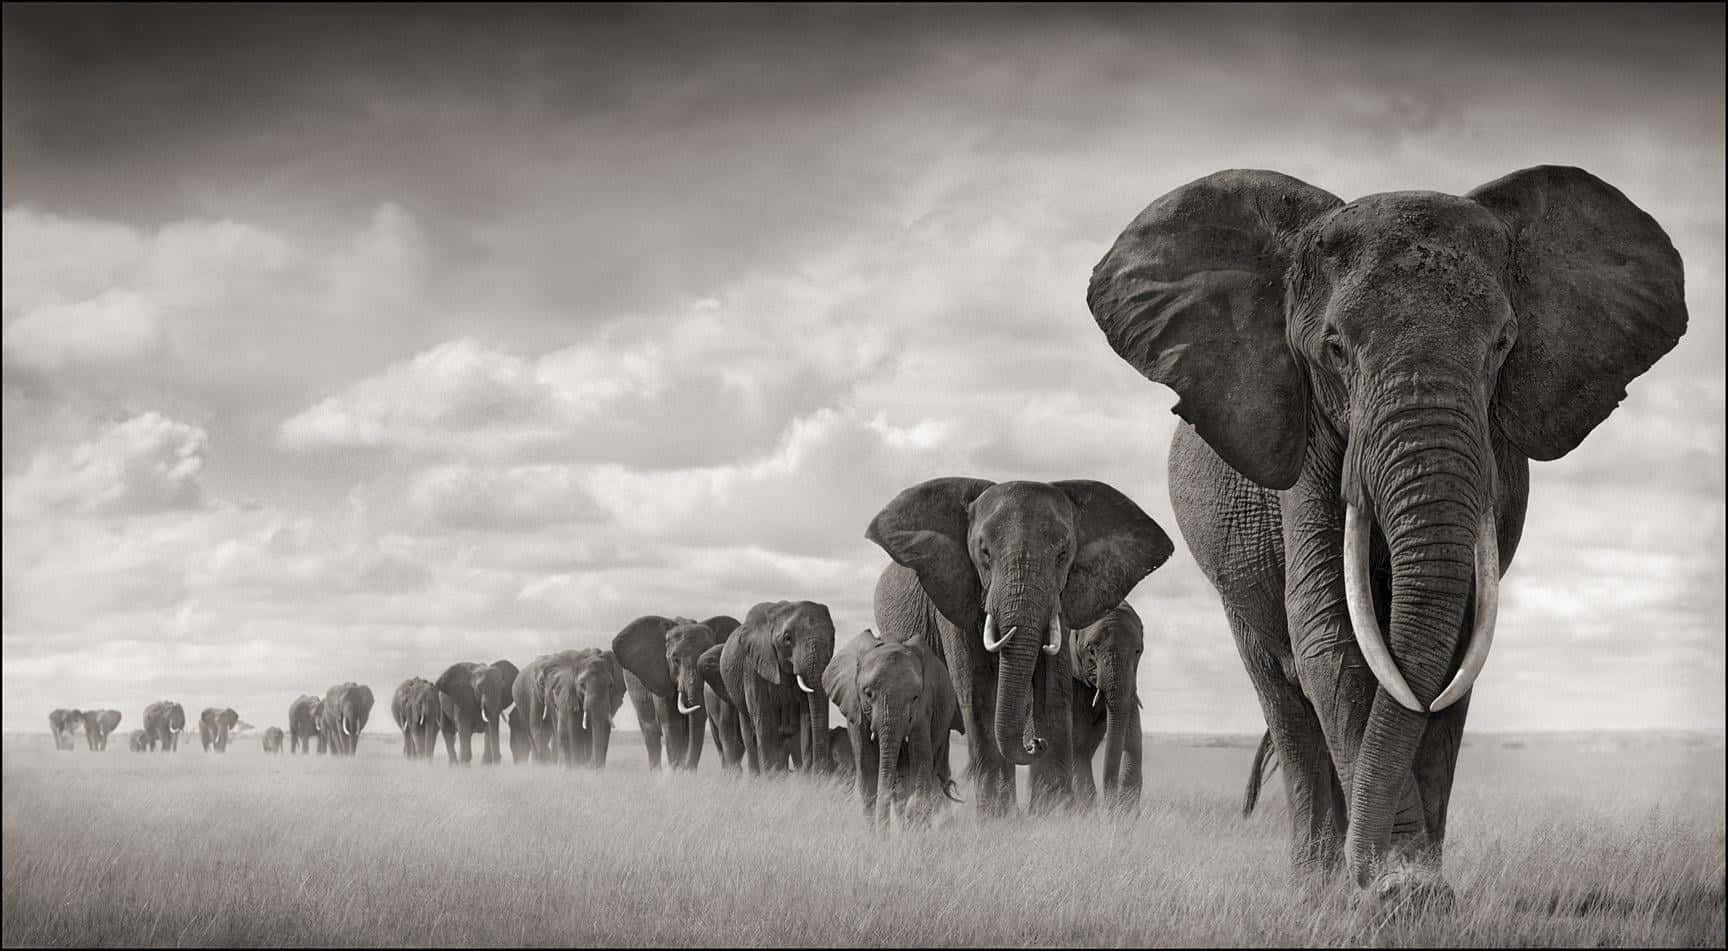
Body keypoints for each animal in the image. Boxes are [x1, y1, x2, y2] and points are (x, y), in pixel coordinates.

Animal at [612, 614, 740, 771]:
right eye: (675, 659)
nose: (687, 769)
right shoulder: (660, 676)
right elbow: (672, 724)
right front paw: (675, 772)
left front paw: (682, 773)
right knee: (651, 733)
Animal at [717, 600, 836, 776]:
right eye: (787, 638)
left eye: (833, 638)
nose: (820, 773)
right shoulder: (753, 665)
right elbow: (764, 720)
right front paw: (770, 780)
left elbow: (807, 718)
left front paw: (806, 779)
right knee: (749, 733)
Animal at [823, 628, 964, 828]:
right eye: (868, 694)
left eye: (915, 697)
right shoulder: (854, 706)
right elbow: (867, 770)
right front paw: (876, 833)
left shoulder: (923, 708)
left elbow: (920, 763)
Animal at [1069, 603, 1147, 812]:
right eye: (1091, 650)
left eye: (1138, 651)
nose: (1109, 805)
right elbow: (1077, 745)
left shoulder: (1130, 686)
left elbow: (1133, 741)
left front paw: (1123, 815)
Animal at [1086, 166, 1687, 899]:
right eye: (1335, 347)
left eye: (1503, 344)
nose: (1378, 877)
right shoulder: (1308, 438)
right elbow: (1330, 633)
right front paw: (1396, 894)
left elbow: (1456, 643)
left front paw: (1414, 890)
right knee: (1284, 695)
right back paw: (1315, 886)